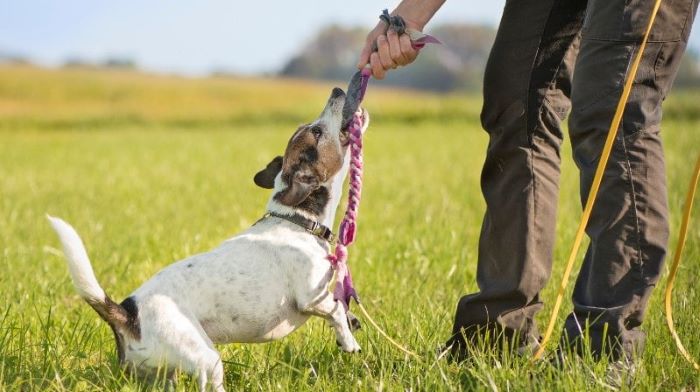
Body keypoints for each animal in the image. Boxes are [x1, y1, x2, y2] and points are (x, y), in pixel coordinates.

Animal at [47, 87, 370, 390]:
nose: (337, 91)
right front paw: (349, 341)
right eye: (316, 131)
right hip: (206, 358)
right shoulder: (311, 298)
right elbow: (336, 310)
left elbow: (343, 308)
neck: (297, 220)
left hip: (162, 372)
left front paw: (351, 326)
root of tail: (128, 313)